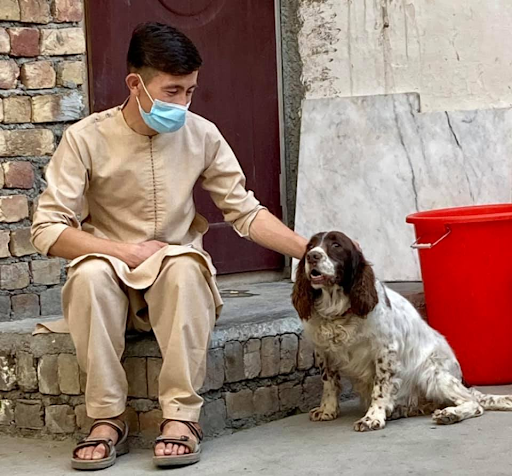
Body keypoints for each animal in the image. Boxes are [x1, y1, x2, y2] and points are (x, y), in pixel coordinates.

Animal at [292, 231, 512, 432]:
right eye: (310, 245)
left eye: (336, 245)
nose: (312, 256)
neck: (338, 311)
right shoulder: (323, 351)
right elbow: (329, 382)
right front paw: (327, 410)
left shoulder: (385, 351)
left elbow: (380, 387)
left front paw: (372, 417)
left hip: (433, 373)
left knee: (473, 403)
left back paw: (449, 414)